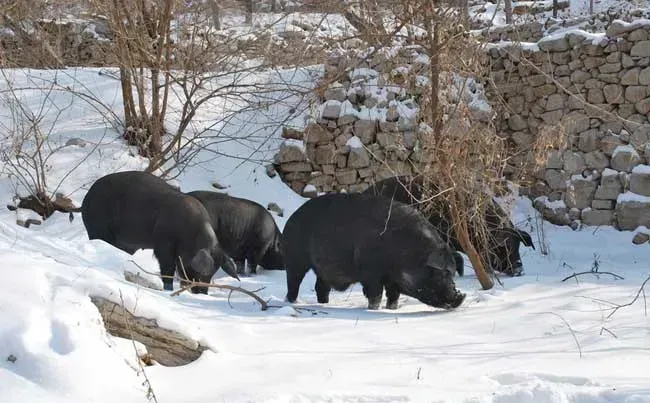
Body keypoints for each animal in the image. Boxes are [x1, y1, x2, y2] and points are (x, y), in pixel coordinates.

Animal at [79, 170, 238, 294]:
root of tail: (86, 198)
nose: (202, 292)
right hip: (98, 227)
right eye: (202, 272)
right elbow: (167, 268)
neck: (190, 233)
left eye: (214, 272)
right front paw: (169, 289)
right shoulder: (163, 244)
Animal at [280, 194, 464, 310]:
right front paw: (373, 309)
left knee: (321, 287)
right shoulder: (370, 273)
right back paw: (292, 303)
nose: (459, 297)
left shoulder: (393, 280)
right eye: (440, 274)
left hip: (322, 269)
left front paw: (391, 309)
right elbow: (375, 294)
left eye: (452, 273)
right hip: (295, 259)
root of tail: (291, 218)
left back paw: (324, 304)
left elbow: (393, 296)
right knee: (293, 281)